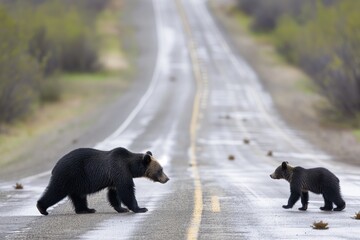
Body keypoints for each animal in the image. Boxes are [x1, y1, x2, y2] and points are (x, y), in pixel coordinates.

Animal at [36, 147, 169, 215]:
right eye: (160, 170)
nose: (167, 179)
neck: (130, 166)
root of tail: (55, 166)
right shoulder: (119, 170)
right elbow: (126, 190)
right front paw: (141, 208)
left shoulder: (114, 178)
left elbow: (114, 194)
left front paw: (121, 208)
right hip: (68, 175)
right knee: (55, 191)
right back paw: (42, 208)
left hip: (77, 182)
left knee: (79, 196)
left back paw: (86, 210)